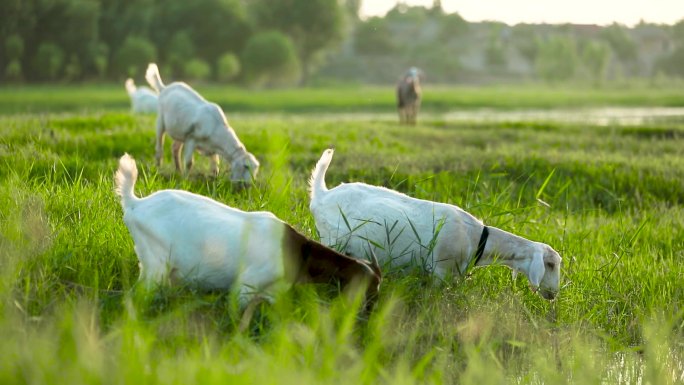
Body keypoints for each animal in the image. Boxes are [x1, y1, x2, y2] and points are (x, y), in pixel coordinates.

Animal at [113, 152, 380, 308]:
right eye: (369, 288)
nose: (370, 311)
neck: (299, 251)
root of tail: (135, 203)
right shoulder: (246, 287)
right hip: (155, 265)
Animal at [308, 148, 560, 298]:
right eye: (550, 264)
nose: (553, 293)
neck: (476, 238)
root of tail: (321, 195)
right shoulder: (440, 271)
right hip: (333, 241)